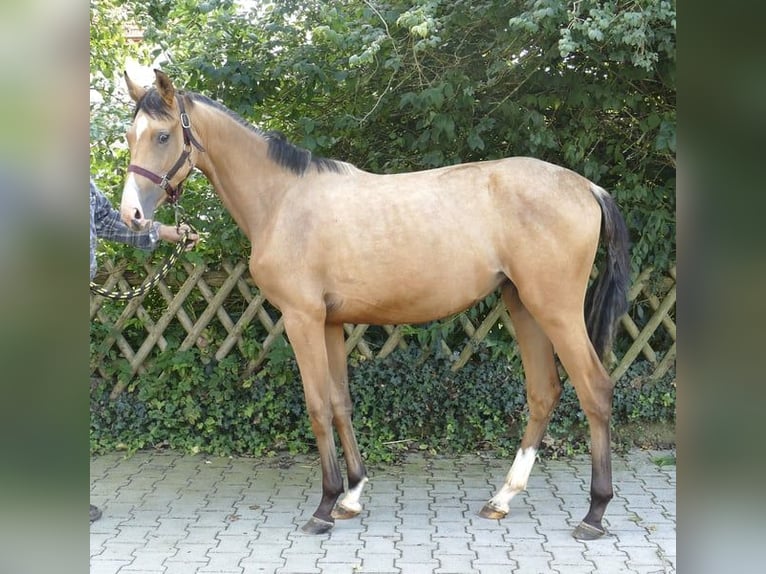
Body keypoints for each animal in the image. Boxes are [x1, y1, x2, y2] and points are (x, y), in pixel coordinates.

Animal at [118, 70, 632, 544]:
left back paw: (594, 513)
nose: (132, 216)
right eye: (129, 135)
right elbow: (340, 403)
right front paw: (351, 495)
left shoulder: (302, 319)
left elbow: (316, 406)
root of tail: (586, 187)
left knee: (595, 390)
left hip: (556, 310)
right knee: (544, 392)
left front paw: (324, 506)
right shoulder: (330, 323)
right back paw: (502, 498)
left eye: (162, 135)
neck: (283, 199)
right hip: (524, 305)